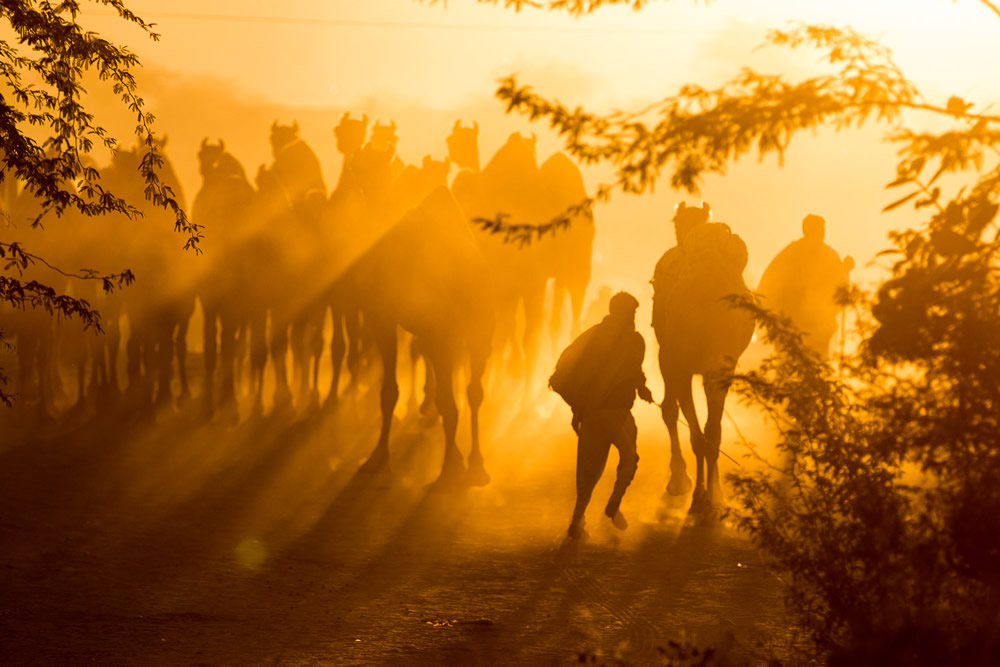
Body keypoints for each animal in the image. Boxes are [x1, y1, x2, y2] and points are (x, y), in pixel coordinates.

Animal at [652, 201, 752, 508]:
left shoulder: (672, 361)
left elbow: (677, 416)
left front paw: (689, 485)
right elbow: (707, 431)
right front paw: (709, 491)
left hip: (687, 362)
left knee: (698, 428)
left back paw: (697, 490)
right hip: (716, 365)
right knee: (711, 431)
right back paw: (707, 491)